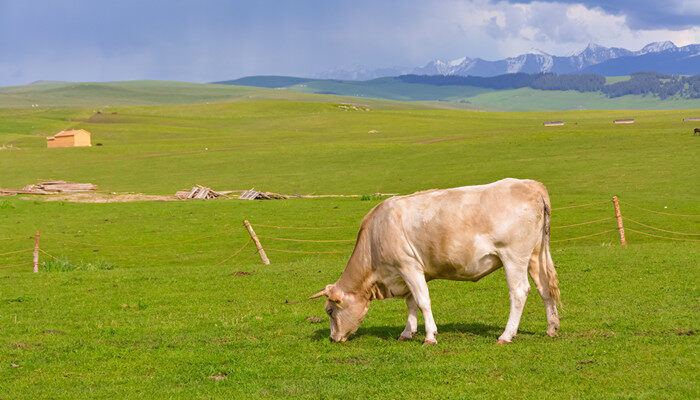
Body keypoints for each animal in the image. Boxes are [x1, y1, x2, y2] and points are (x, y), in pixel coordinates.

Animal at [308, 177, 560, 344]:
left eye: (330, 311)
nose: (333, 338)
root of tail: (531, 184)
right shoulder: (408, 273)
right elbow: (411, 303)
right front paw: (407, 332)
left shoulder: (408, 266)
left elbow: (422, 301)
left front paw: (429, 336)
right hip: (535, 255)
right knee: (544, 288)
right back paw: (551, 328)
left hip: (513, 257)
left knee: (519, 292)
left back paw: (506, 335)